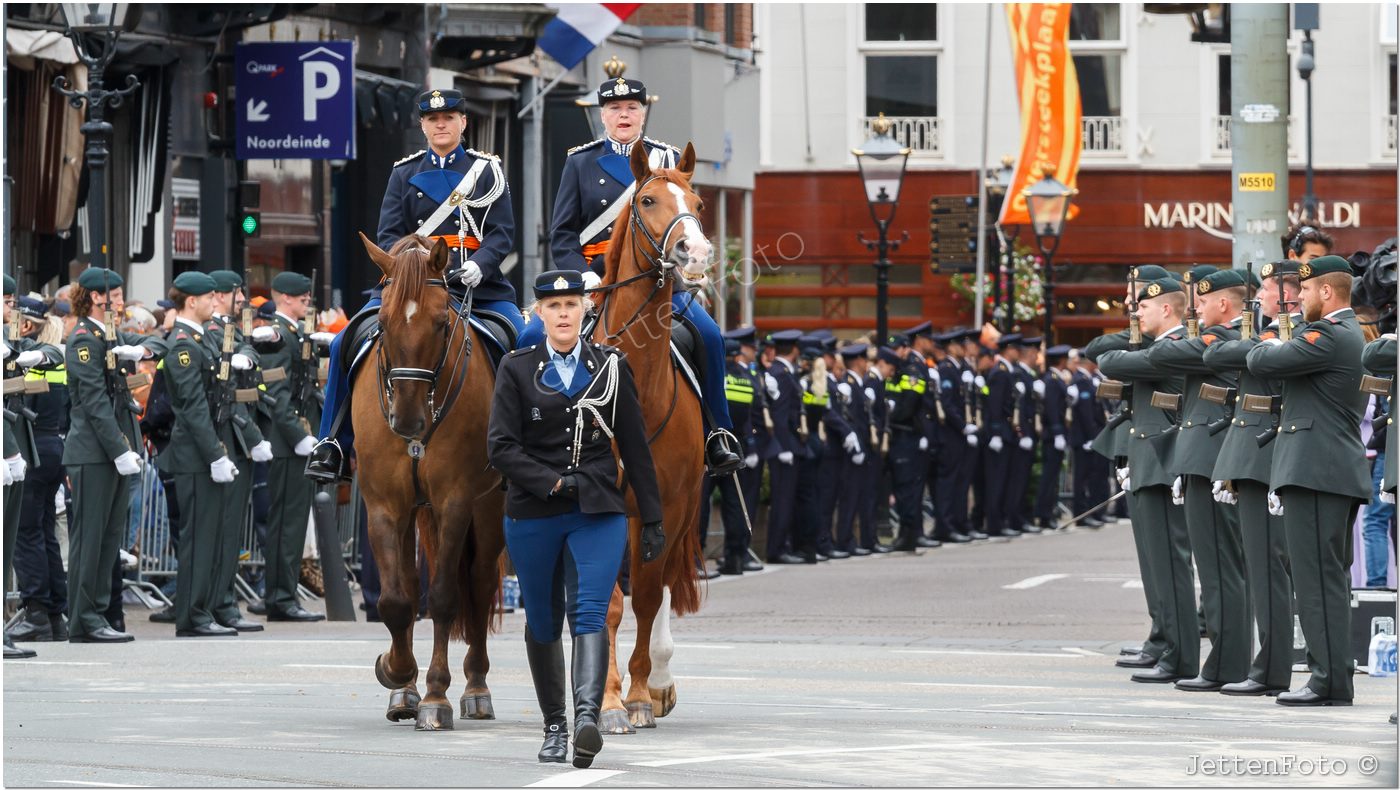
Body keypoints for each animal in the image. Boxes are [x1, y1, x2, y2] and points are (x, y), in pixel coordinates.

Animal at [352, 231, 506, 733]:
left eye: (441, 324)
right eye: (381, 322)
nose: (407, 419)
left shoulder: (455, 501)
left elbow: (442, 598)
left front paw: (436, 697)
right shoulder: (383, 504)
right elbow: (397, 600)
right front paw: (397, 675)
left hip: (489, 509)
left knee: (477, 583)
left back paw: (476, 689)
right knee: (408, 580)